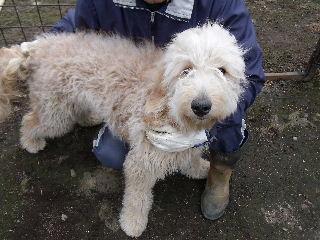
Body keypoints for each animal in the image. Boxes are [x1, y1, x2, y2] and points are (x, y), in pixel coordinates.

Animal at [0, 23, 245, 237]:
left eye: (222, 70)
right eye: (186, 70)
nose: (201, 106)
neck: (170, 108)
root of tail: (40, 47)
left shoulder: (187, 142)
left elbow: (190, 156)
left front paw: (198, 168)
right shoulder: (141, 162)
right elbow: (137, 198)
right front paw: (132, 223)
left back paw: (87, 118)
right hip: (55, 115)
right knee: (30, 120)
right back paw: (30, 142)